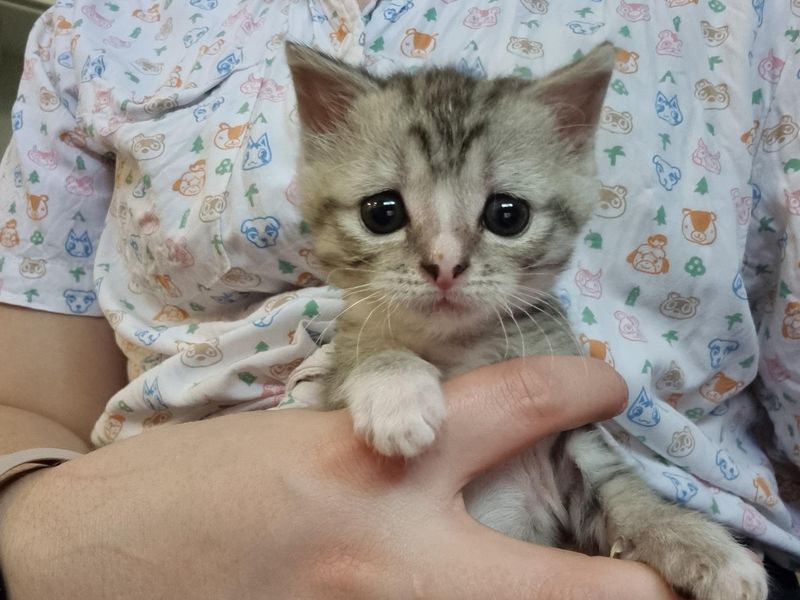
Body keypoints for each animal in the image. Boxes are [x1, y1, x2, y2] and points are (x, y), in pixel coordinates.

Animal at [288, 43, 768, 600]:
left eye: (507, 214)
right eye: (381, 212)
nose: (444, 265)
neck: (462, 348)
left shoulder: (571, 443)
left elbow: (621, 490)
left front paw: (699, 543)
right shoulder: (332, 385)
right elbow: (363, 354)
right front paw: (396, 393)